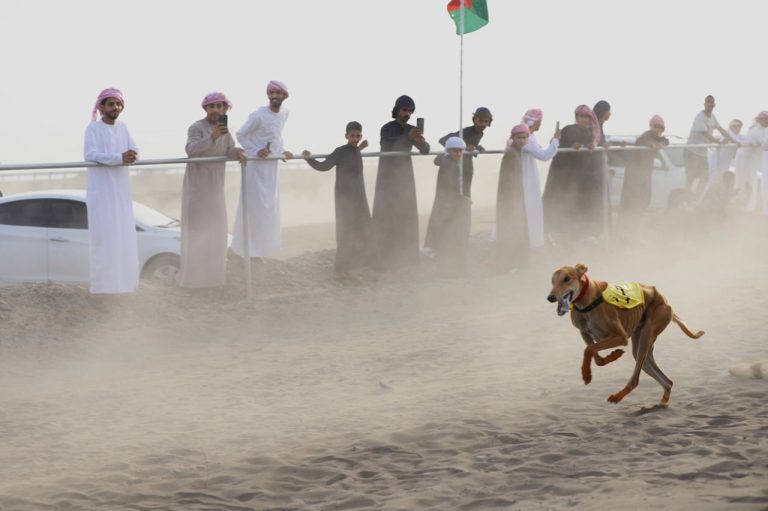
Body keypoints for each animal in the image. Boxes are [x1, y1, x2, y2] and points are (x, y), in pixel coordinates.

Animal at [547, 264, 704, 405]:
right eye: (552, 281)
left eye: (567, 278)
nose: (550, 297)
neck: (588, 302)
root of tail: (665, 299)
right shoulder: (584, 333)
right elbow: (596, 358)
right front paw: (612, 356)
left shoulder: (620, 337)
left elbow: (589, 349)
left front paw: (586, 375)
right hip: (640, 345)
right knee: (666, 380)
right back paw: (662, 400)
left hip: (646, 336)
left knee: (636, 379)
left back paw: (618, 396)